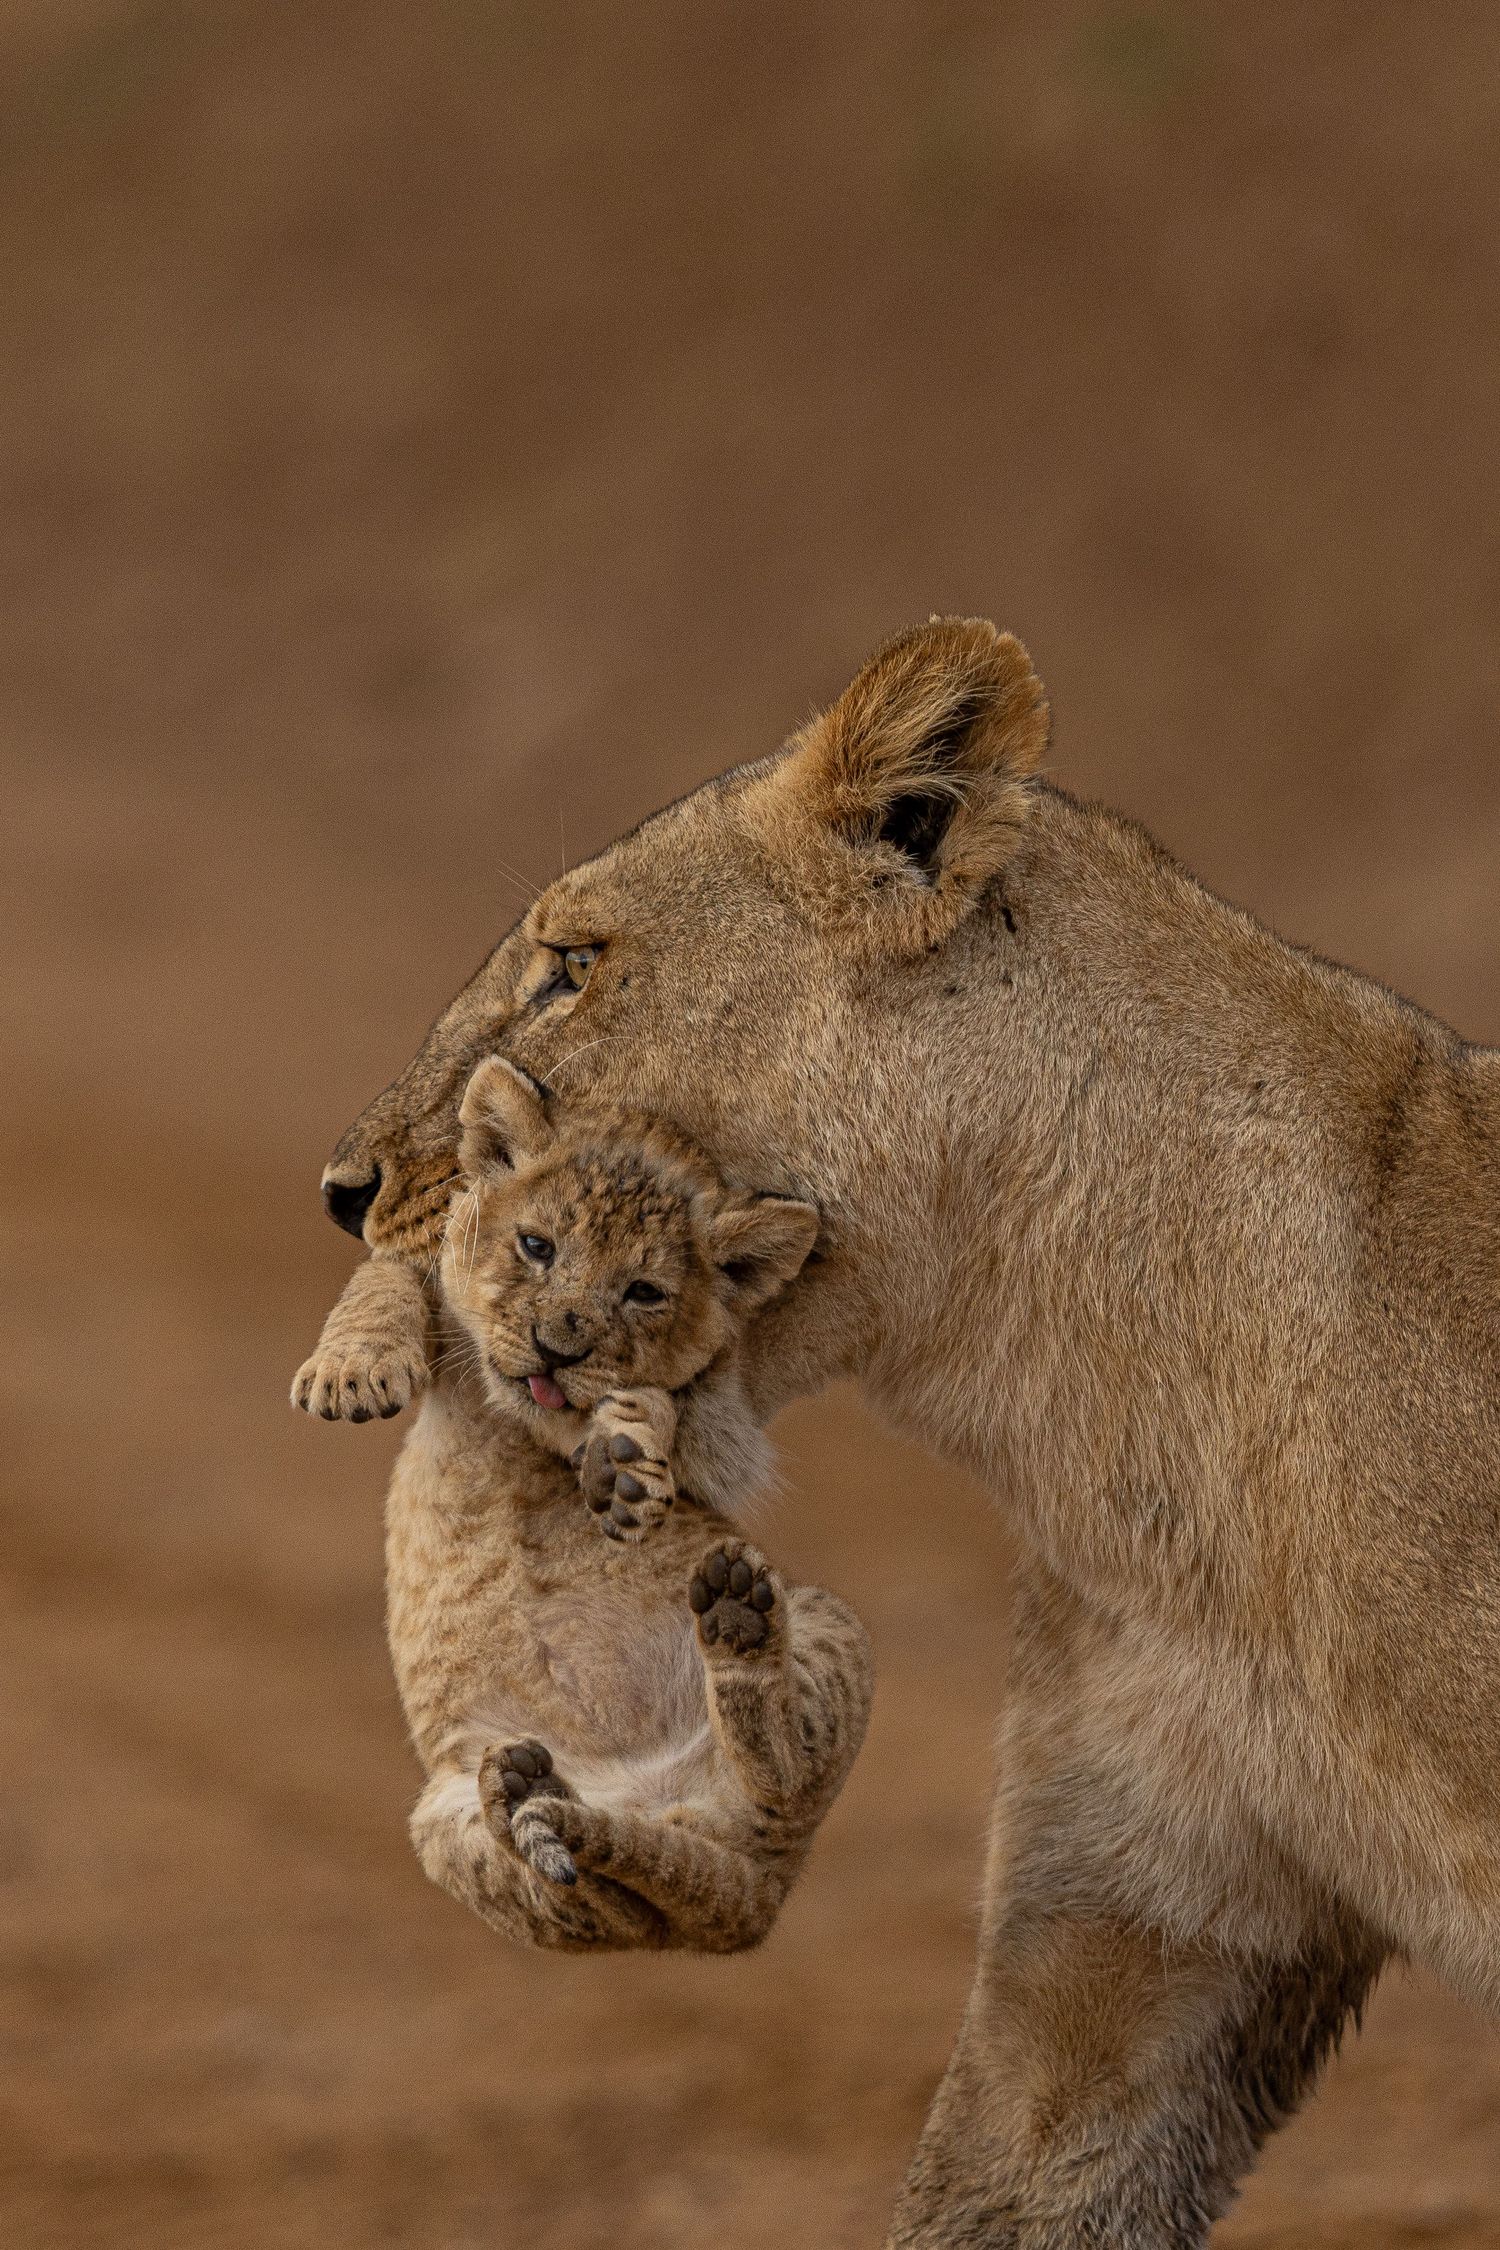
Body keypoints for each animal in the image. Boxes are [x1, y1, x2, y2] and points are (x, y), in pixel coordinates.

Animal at [296, 1057, 871, 1953]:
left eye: (643, 1291)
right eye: (537, 1246)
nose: (559, 1343)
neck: (516, 1427)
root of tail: (754, 1897)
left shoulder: (730, 1433)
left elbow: (668, 1403)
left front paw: (627, 1460)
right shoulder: (428, 1272)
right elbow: (384, 1274)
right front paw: (351, 1371)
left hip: (828, 1627)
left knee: (775, 1779)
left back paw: (736, 1625)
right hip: (443, 1824)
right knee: (599, 1899)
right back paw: (529, 1799)